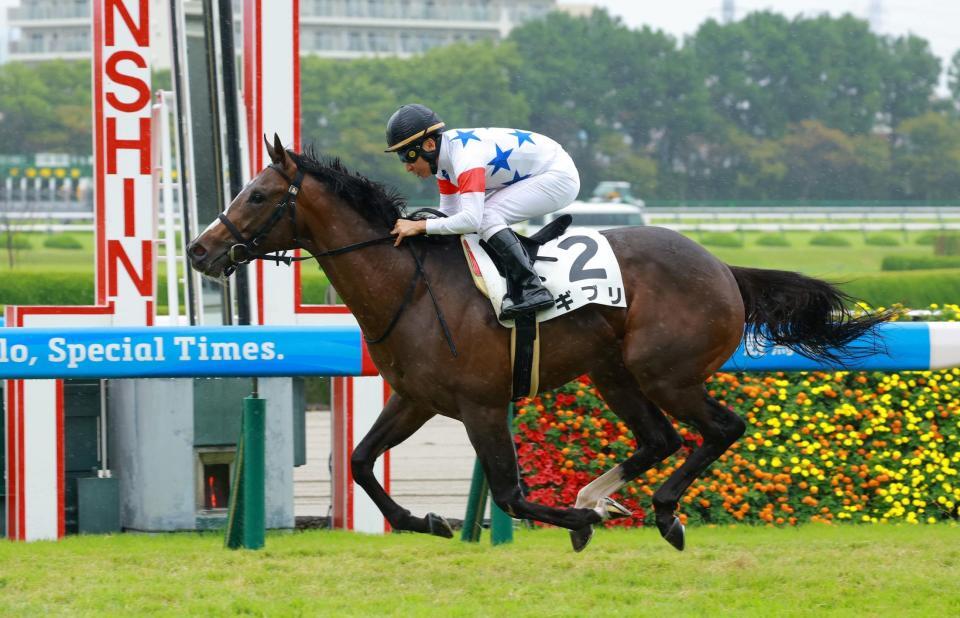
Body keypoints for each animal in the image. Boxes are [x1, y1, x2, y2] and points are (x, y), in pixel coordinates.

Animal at [187, 135, 889, 551]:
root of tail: (723, 268)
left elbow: (508, 492)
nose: (198, 250)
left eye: (258, 194)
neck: (411, 285)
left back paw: (659, 511)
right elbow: (361, 463)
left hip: (666, 373)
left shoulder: (480, 405)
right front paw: (427, 520)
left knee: (720, 428)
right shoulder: (416, 399)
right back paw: (596, 497)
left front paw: (573, 524)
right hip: (613, 373)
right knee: (660, 438)